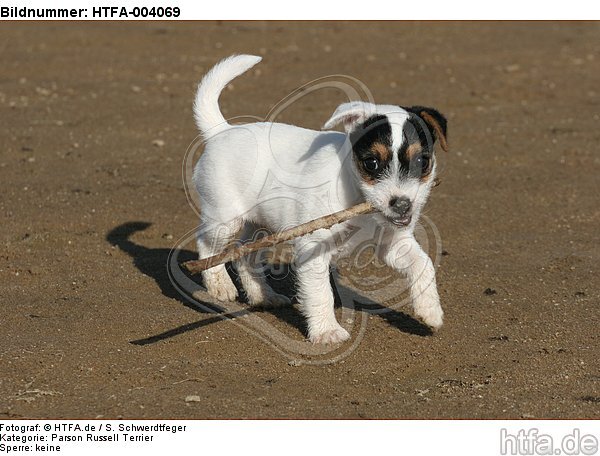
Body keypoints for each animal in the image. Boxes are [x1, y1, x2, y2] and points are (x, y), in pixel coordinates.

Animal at [190, 55, 448, 344]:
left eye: (422, 162)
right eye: (371, 163)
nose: (402, 205)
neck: (356, 195)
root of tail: (221, 131)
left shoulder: (393, 243)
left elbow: (424, 264)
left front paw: (430, 309)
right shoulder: (313, 249)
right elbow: (320, 293)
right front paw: (327, 331)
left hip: (258, 226)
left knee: (245, 256)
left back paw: (263, 296)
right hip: (226, 219)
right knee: (207, 245)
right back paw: (219, 285)